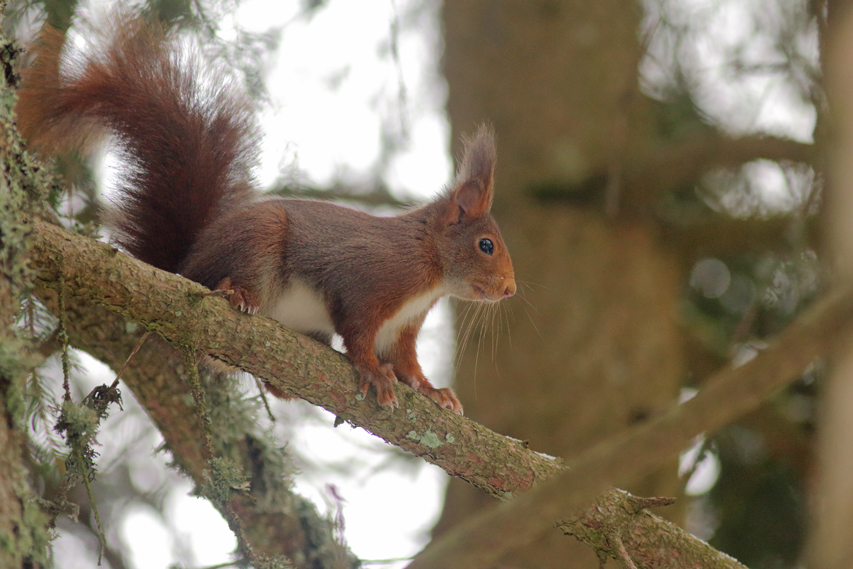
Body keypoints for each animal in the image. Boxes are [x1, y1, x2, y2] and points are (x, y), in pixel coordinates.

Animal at [18, 20, 512, 414]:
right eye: (486, 245)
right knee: (223, 281)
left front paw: (432, 391)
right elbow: (357, 330)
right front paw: (373, 372)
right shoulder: (370, 279)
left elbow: (406, 362)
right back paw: (235, 293)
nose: (509, 290)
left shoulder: (402, 326)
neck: (430, 268)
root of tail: (182, 267)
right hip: (258, 242)